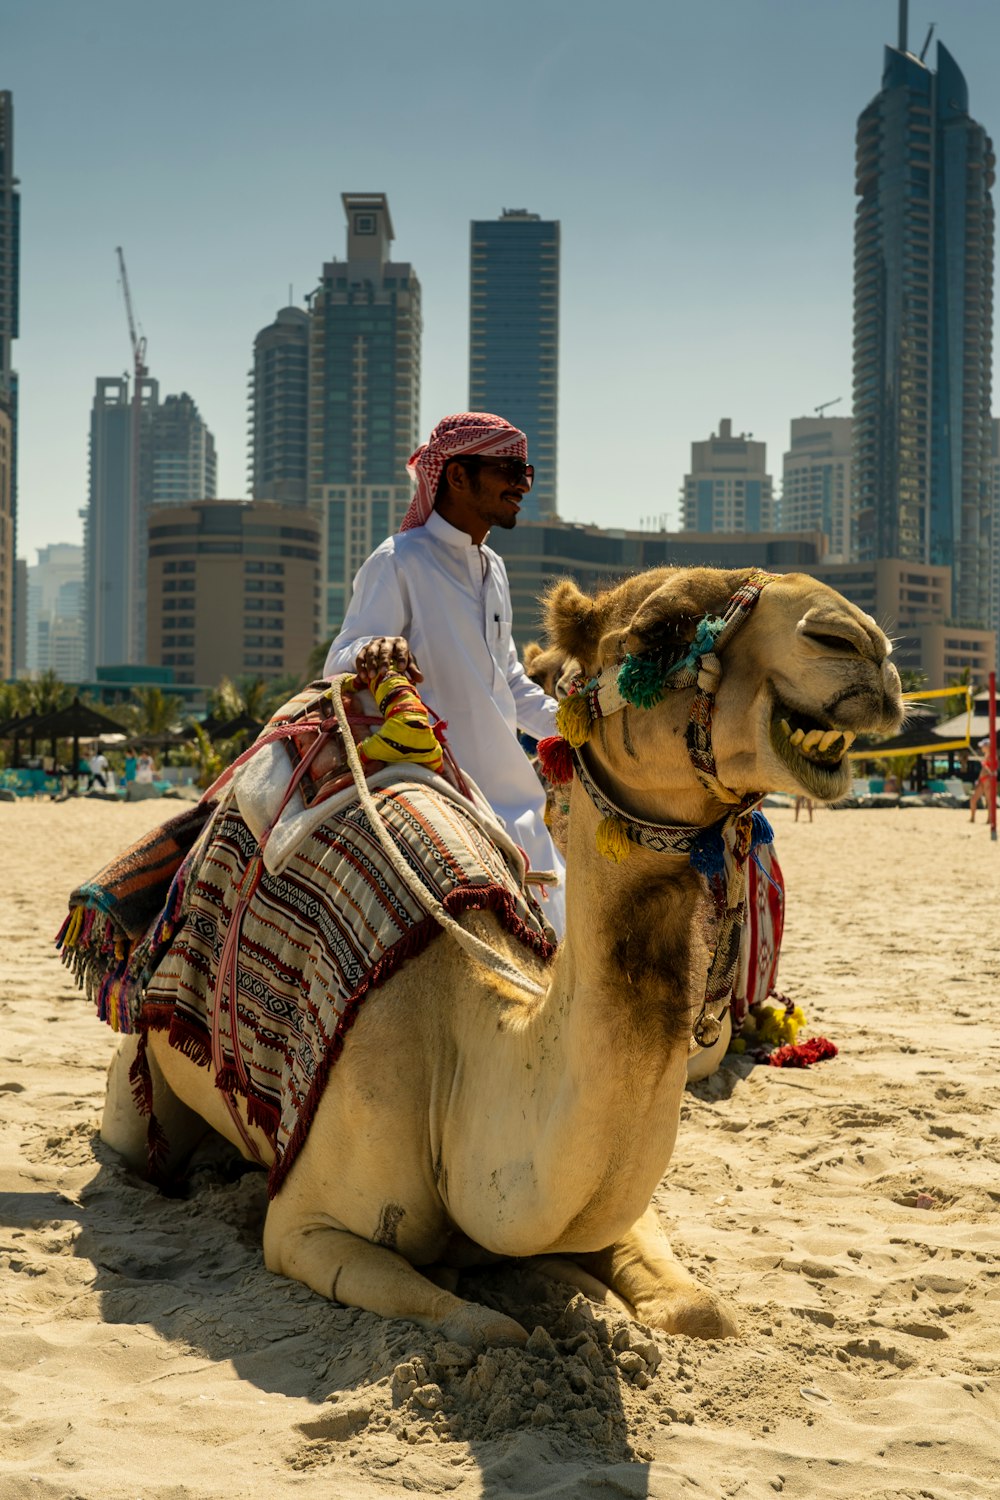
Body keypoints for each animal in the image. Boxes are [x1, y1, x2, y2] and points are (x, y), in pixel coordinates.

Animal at [97, 567, 905, 1356]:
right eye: (660, 628)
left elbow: (702, 1310)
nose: (861, 642)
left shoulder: (617, 1217)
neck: (469, 1054)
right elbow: (486, 1326)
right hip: (141, 1091)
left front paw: (590, 1293)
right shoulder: (304, 1226)